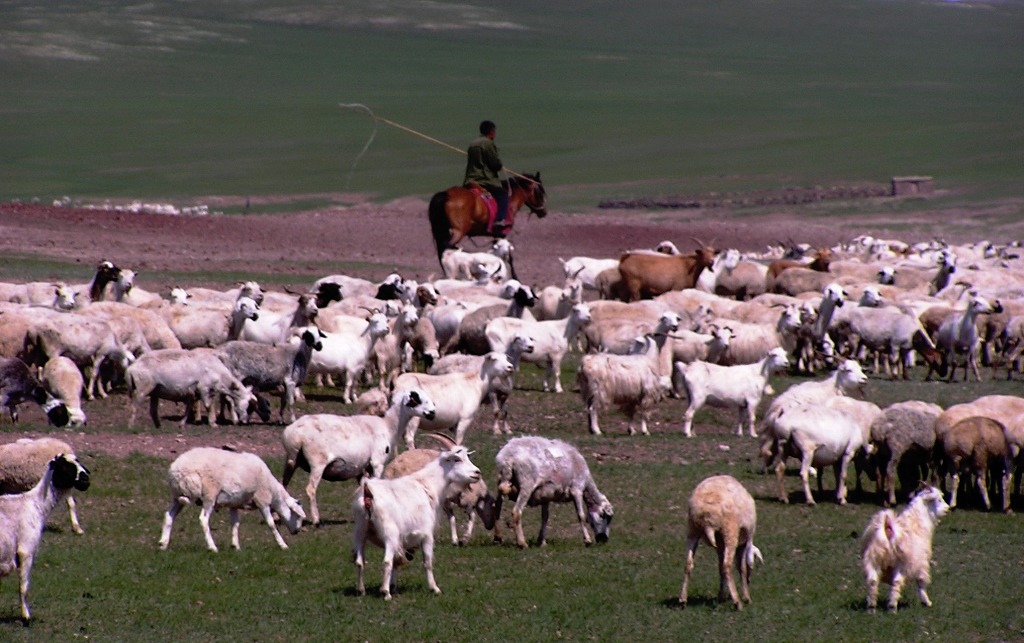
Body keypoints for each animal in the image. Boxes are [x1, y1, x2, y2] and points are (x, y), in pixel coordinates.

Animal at [0, 452, 90, 622]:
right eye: (65, 466)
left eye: (78, 461)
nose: (86, 480)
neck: (36, 505)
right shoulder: (26, 550)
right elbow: (24, 587)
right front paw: (26, 617)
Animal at [157, 446, 305, 552]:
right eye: (298, 516)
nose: (297, 532)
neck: (273, 491)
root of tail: (177, 470)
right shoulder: (262, 500)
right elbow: (271, 524)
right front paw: (283, 545)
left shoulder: (234, 503)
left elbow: (235, 524)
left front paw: (236, 546)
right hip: (209, 495)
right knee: (203, 519)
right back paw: (212, 547)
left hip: (177, 496)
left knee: (169, 515)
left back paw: (163, 544)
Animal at [282, 389, 438, 524]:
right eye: (416, 399)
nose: (432, 413)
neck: (388, 426)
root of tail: (295, 434)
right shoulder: (377, 463)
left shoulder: (362, 469)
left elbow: (365, 491)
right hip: (317, 462)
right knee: (310, 489)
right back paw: (316, 519)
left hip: (291, 460)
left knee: (283, 485)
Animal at [679, 475, 761, 610]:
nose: (750, 580)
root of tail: (705, 512)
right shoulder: (746, 542)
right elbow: (742, 567)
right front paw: (746, 597)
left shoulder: (720, 546)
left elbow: (719, 567)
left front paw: (721, 596)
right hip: (730, 531)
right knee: (727, 565)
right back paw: (737, 603)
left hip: (692, 530)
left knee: (688, 564)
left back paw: (682, 600)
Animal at [860, 483, 946, 614]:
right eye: (938, 499)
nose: (948, 508)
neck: (917, 522)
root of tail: (888, 528)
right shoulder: (922, 562)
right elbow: (921, 582)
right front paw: (927, 602)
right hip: (902, 564)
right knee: (897, 582)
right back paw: (892, 607)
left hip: (873, 559)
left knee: (872, 581)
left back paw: (871, 608)